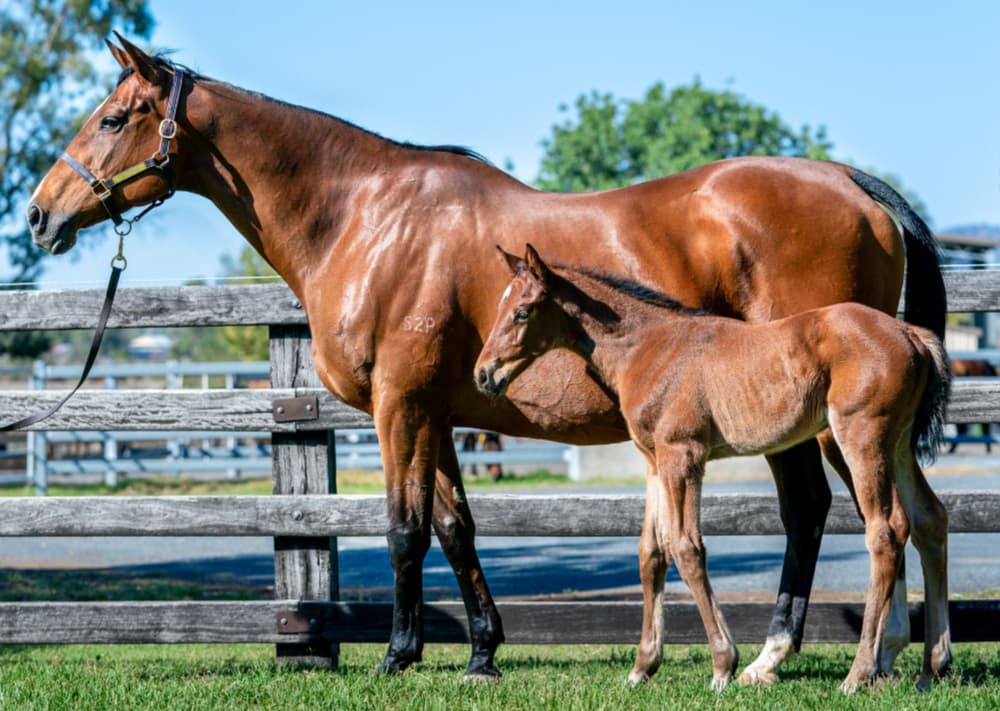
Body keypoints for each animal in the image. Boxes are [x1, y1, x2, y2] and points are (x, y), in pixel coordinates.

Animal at [476, 245, 951, 692]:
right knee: (929, 519)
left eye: (522, 311)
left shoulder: (683, 455)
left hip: (860, 438)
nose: (483, 374)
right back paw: (932, 668)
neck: (650, 347)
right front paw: (642, 667)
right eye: (498, 306)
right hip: (898, 445)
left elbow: (687, 548)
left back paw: (859, 673)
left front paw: (723, 664)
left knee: (884, 532)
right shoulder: (654, 461)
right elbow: (651, 552)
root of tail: (909, 331)